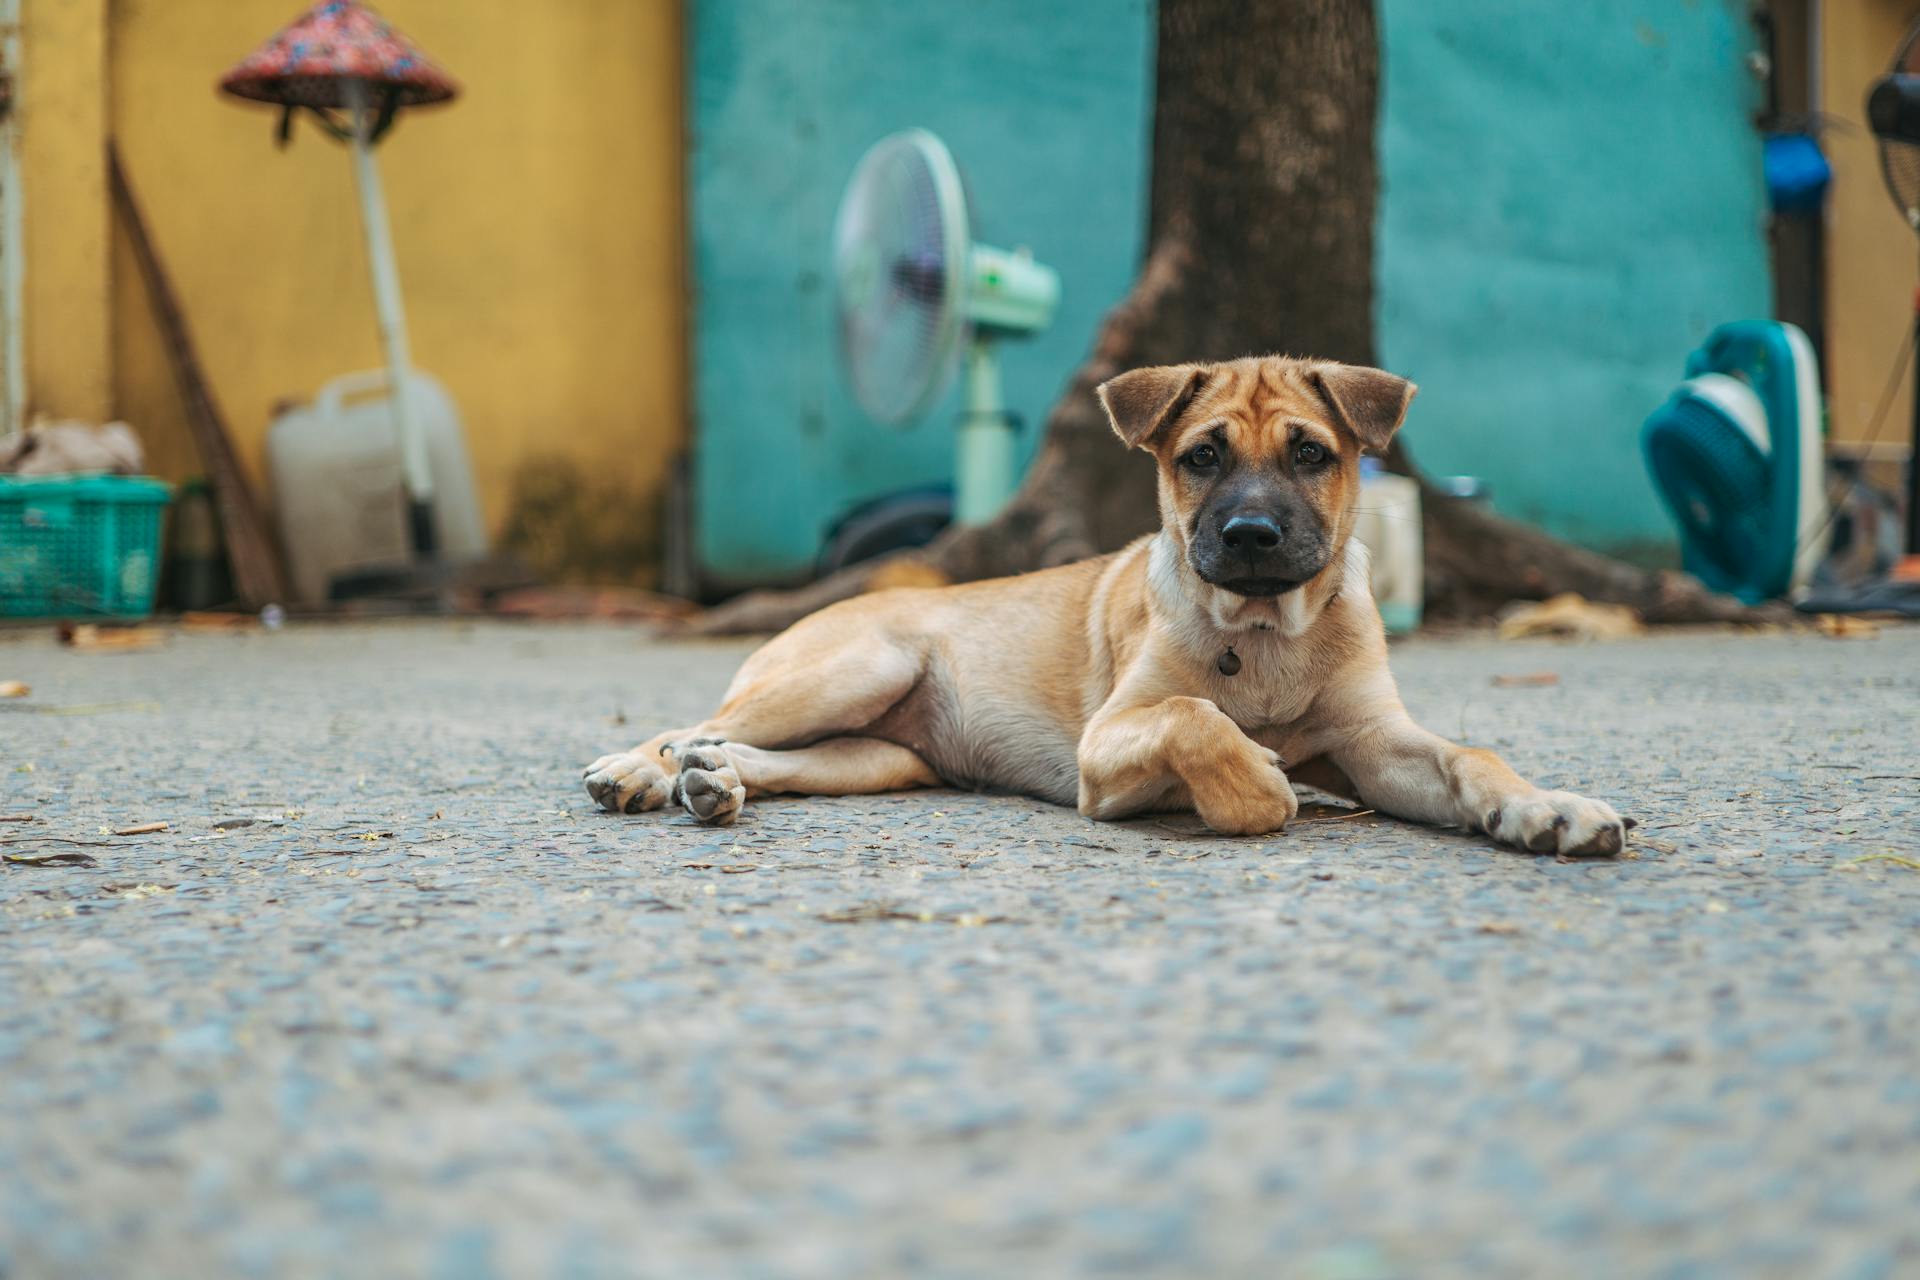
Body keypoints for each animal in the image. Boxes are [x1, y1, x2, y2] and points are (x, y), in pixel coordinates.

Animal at [583, 355, 1635, 855]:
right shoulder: (1110, 742)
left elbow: (1472, 758)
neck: (1264, 636)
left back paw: (717, 782)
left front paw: (1548, 809)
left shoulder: (1377, 745)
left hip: (878, 756)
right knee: (689, 723)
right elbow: (1197, 717)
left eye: (1310, 453)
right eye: (1202, 456)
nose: (1251, 535)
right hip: (854, 668)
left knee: (750, 750)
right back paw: (639, 770)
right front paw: (1259, 787)